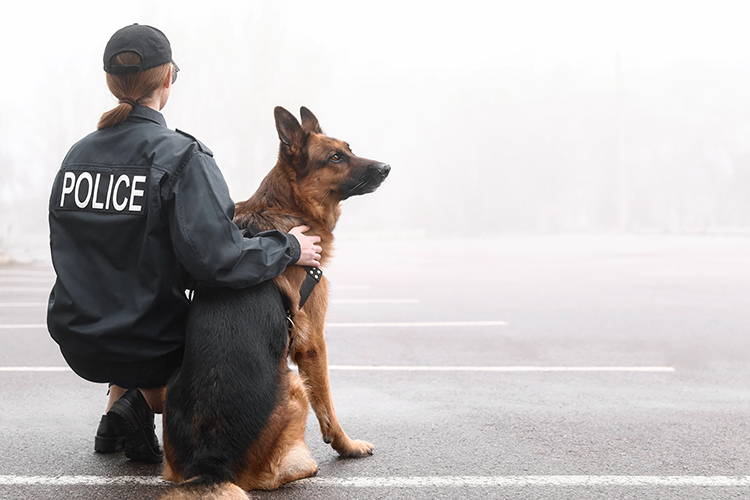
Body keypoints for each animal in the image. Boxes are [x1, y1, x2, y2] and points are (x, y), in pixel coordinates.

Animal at [161, 107, 390, 498]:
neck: (288, 208)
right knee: (275, 475)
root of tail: (210, 464)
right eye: (335, 158)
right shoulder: (312, 343)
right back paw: (305, 465)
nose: (386, 167)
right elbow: (329, 407)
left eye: (348, 149)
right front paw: (347, 447)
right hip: (294, 386)